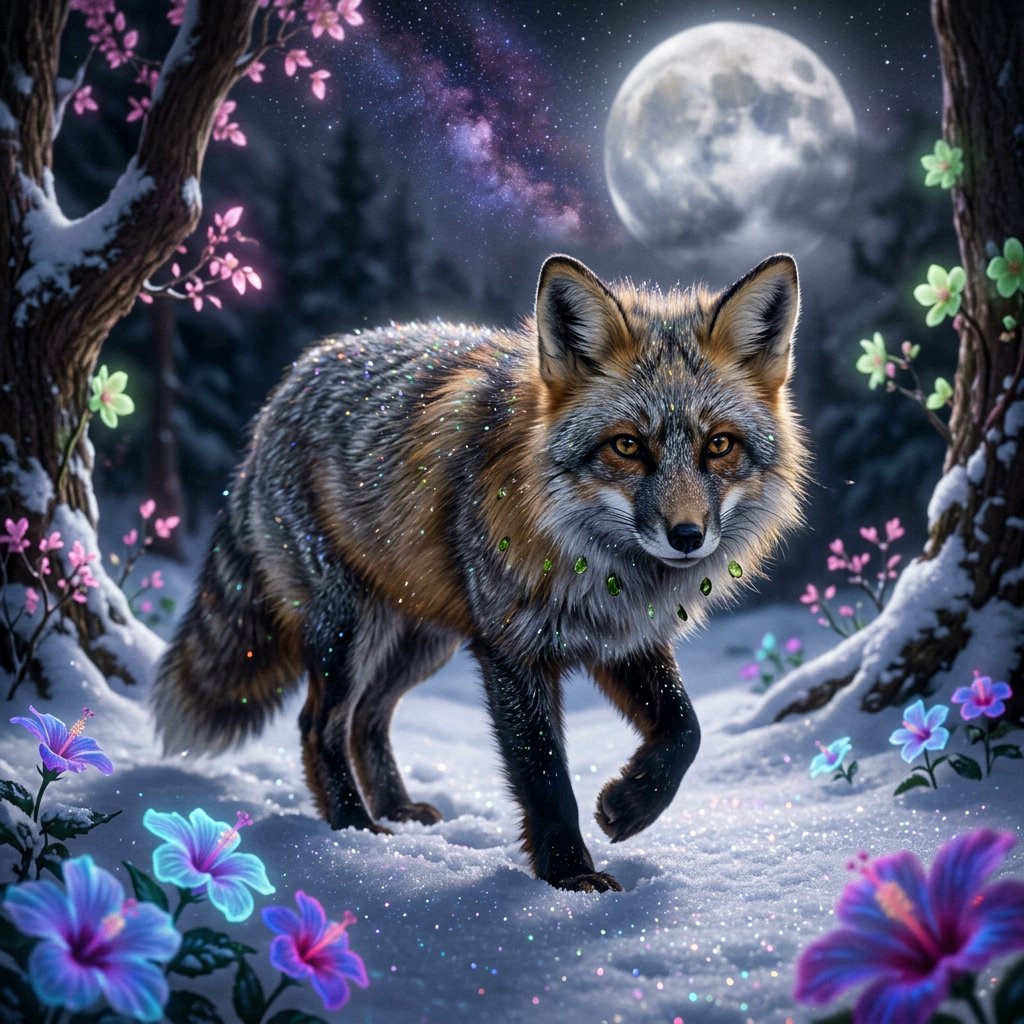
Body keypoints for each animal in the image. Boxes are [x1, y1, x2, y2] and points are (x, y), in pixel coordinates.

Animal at [152, 252, 808, 892]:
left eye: (719, 445)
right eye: (627, 446)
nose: (687, 537)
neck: (599, 567)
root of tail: (288, 384)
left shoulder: (625, 639)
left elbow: (685, 731)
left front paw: (631, 805)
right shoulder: (511, 649)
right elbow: (545, 776)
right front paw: (569, 875)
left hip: (423, 641)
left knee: (368, 719)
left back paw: (395, 810)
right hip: (349, 632)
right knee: (320, 725)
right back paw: (355, 828)